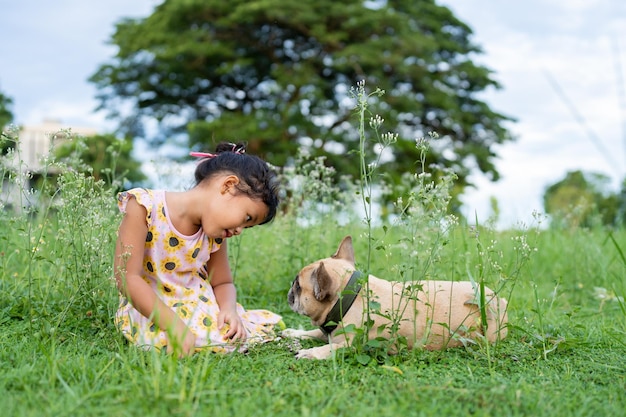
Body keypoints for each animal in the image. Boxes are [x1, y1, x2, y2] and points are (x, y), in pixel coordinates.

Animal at [282, 234, 508, 358]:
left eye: (298, 286)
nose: (290, 288)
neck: (350, 298)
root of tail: (499, 299)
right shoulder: (330, 330)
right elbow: (313, 333)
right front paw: (293, 332)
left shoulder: (351, 345)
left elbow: (330, 349)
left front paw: (311, 353)